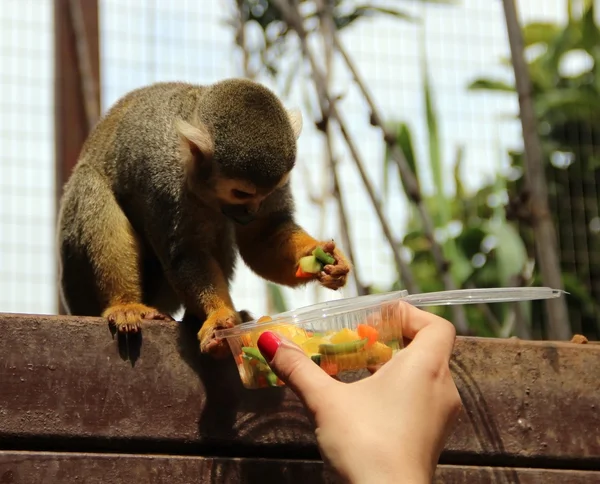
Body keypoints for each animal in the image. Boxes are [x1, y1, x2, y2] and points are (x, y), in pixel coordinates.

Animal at [56, 79, 352, 358]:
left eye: (267, 193)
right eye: (241, 193)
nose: (251, 212)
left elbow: (263, 236)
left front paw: (324, 258)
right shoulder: (165, 182)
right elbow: (186, 254)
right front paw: (220, 317)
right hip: (76, 281)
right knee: (89, 183)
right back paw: (126, 305)